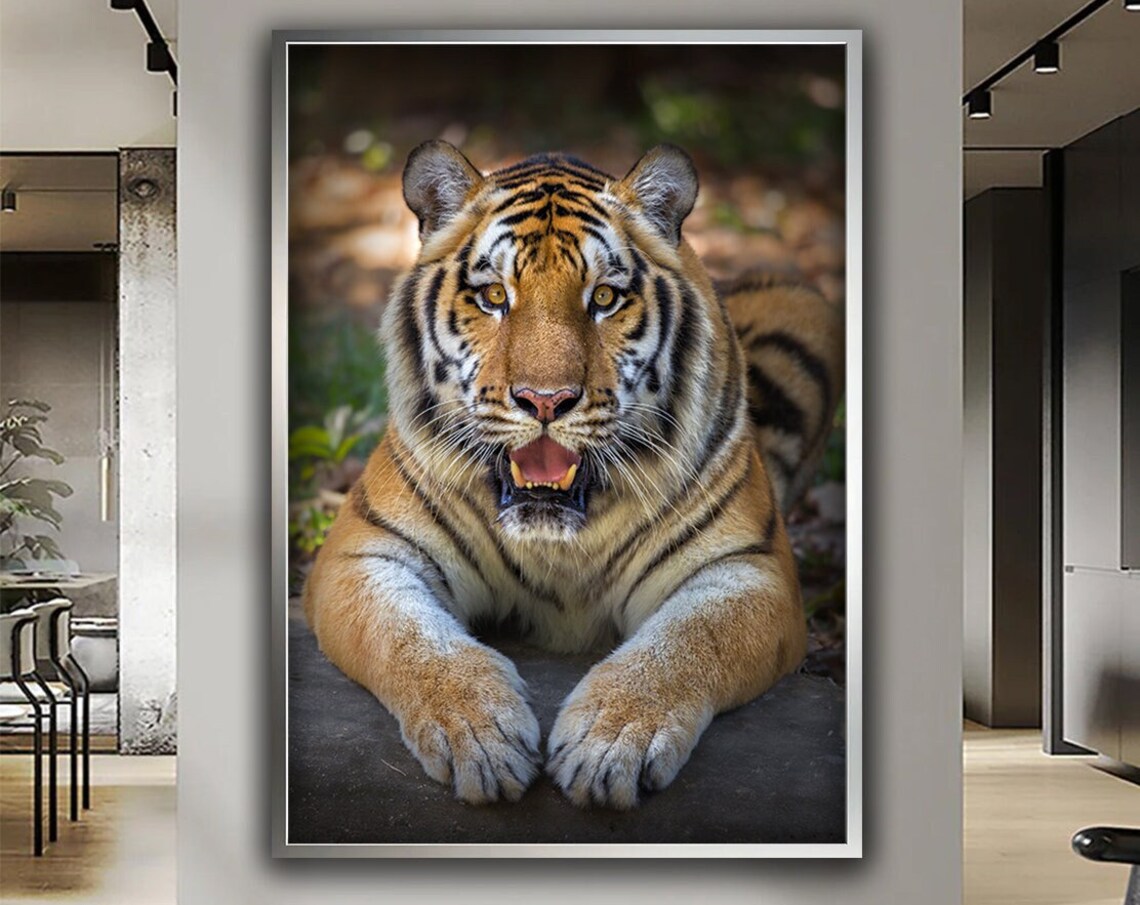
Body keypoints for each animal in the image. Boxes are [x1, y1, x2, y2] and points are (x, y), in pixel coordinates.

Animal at [302, 140, 844, 810]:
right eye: (494, 296)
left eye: (604, 299)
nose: (545, 400)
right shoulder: (365, 554)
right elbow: (411, 640)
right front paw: (481, 736)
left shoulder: (750, 569)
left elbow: (687, 645)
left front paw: (609, 745)